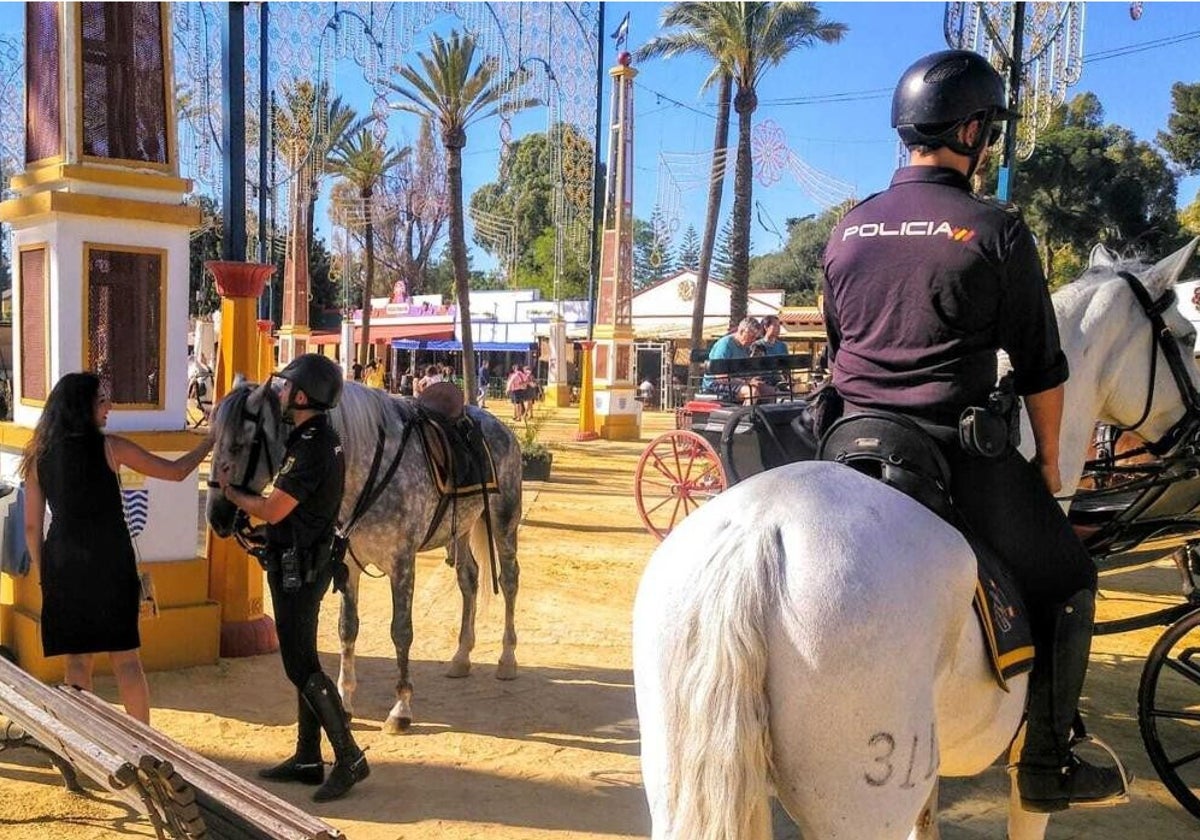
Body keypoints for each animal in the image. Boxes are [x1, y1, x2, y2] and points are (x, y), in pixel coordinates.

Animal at [207, 376, 525, 729]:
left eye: (241, 444)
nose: (216, 516)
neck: (368, 466)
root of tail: (499, 426)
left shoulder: (402, 563)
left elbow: (401, 631)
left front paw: (401, 708)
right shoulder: (348, 564)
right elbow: (347, 628)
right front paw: (345, 702)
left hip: (503, 521)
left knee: (509, 581)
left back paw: (507, 659)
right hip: (462, 529)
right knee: (469, 580)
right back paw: (461, 657)